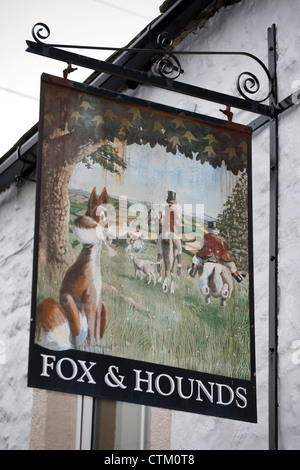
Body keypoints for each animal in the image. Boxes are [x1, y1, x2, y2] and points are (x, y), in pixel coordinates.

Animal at [34, 185, 115, 350]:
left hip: (105, 306)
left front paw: (97, 348)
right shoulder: (90, 301)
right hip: (65, 301)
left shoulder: (98, 304)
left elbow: (96, 331)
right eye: (101, 216)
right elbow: (92, 330)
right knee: (73, 338)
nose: (112, 232)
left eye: (109, 214)